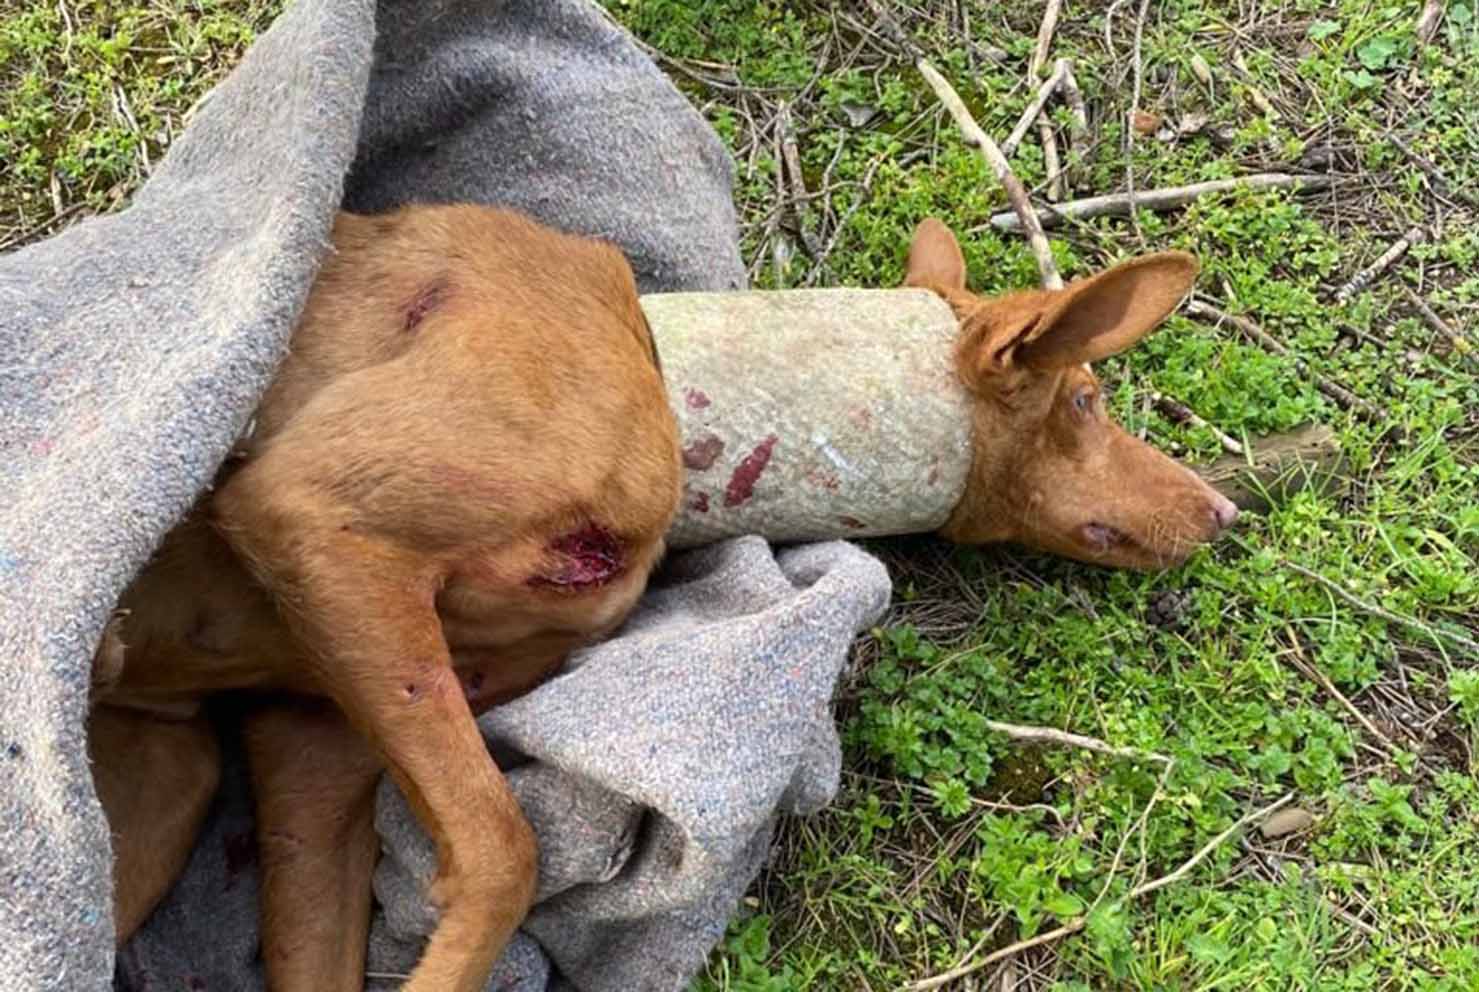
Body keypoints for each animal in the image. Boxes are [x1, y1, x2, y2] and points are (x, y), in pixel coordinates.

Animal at [92, 212, 1236, 987]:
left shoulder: (310, 739)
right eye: (1085, 400)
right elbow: (507, 849)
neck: (664, 373)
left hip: (167, 791)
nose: (1222, 509)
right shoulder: (315, 517)